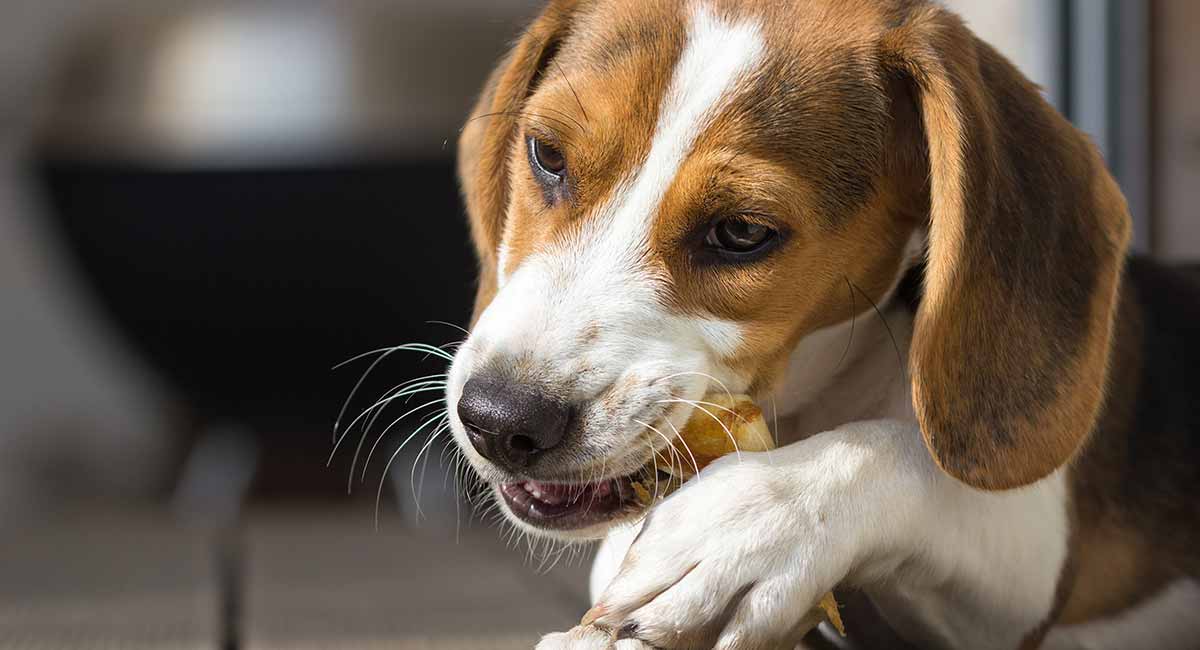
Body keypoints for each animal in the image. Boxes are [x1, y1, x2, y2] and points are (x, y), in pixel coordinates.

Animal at [446, 1, 1200, 650]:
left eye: (742, 231)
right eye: (547, 156)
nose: (499, 419)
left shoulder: (1028, 569)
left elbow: (902, 454)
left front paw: (743, 528)